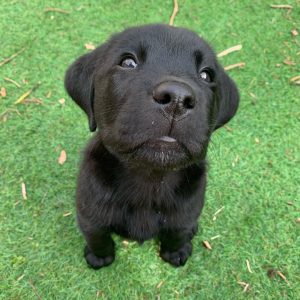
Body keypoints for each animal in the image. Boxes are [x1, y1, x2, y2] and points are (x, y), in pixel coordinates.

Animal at [65, 22, 239, 268]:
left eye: (206, 75)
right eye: (128, 62)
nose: (177, 98)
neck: (149, 177)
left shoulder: (185, 214)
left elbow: (177, 233)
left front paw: (176, 253)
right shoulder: (90, 215)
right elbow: (97, 237)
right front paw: (99, 257)